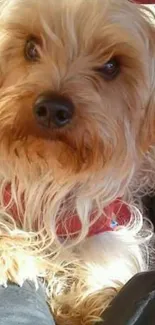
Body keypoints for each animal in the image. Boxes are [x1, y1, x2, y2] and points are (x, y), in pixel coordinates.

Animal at [0, 0, 154, 322]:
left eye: (111, 66)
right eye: (30, 47)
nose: (52, 108)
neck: (50, 170)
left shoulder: (106, 221)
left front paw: (90, 301)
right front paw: (12, 253)